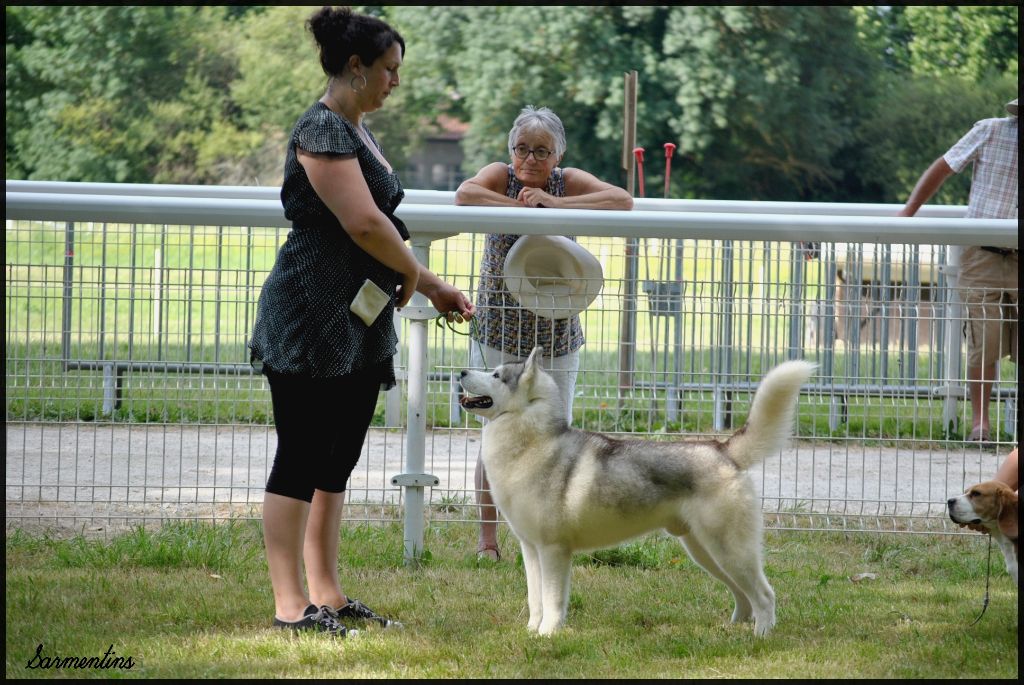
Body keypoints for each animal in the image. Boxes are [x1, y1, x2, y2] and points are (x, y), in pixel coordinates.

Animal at [462, 348, 815, 634]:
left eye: (496, 375)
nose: (462, 372)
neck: (532, 442)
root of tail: (722, 449)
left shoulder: (553, 550)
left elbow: (551, 601)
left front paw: (548, 634)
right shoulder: (531, 550)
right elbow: (535, 600)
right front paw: (531, 632)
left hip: (729, 551)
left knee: (764, 595)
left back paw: (761, 636)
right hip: (706, 552)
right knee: (742, 594)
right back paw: (735, 627)